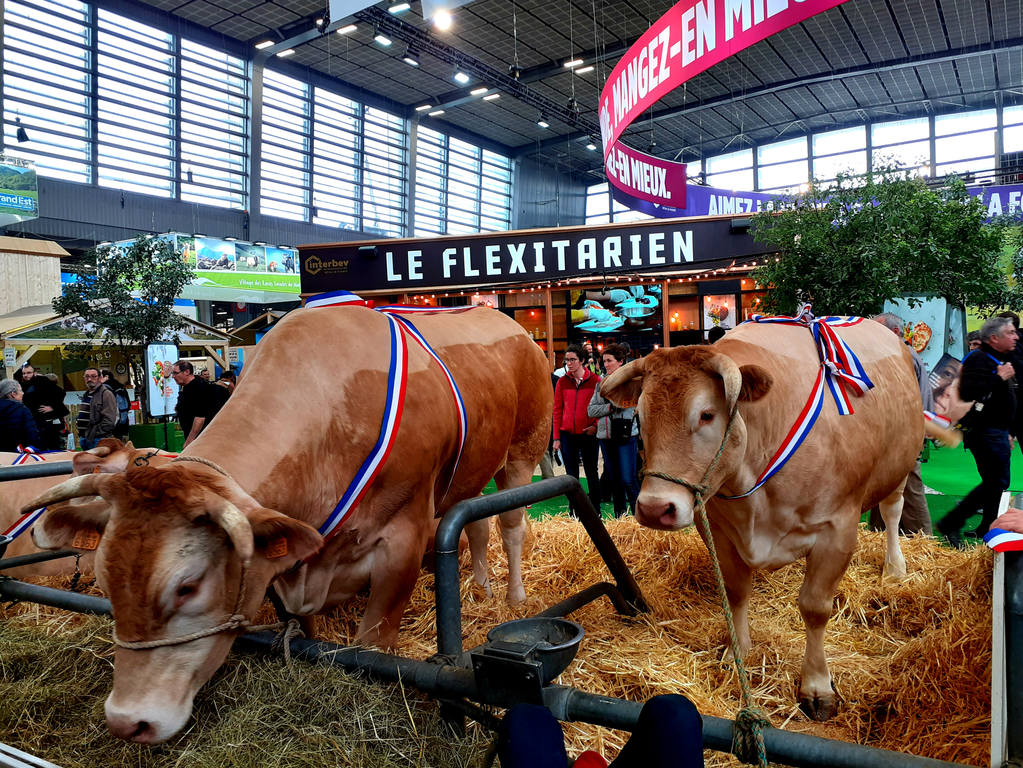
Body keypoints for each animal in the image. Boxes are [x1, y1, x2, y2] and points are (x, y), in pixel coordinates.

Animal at [24, 302, 552, 740]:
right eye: (104, 579)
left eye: (188, 587)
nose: (126, 721)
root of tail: (508, 322)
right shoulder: (292, 561)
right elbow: (304, 629)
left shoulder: (404, 538)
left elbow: (374, 643)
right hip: (473, 471)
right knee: (475, 523)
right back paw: (480, 587)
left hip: (525, 448)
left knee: (511, 525)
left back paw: (513, 597)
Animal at [601, 319, 924, 719]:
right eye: (640, 417)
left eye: (707, 414)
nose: (654, 508)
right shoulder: (718, 529)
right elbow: (736, 591)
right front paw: (736, 651)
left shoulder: (837, 529)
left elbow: (815, 607)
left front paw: (817, 685)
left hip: (900, 468)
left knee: (893, 512)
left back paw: (895, 568)